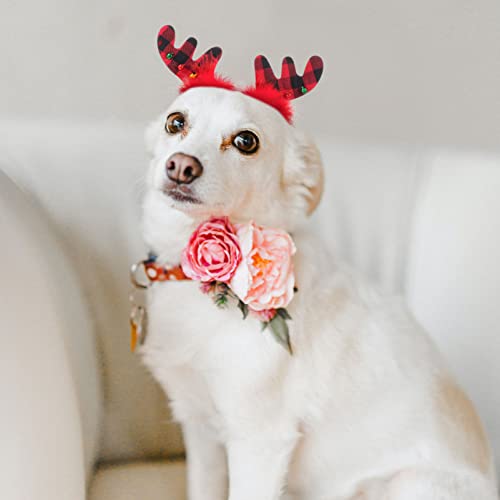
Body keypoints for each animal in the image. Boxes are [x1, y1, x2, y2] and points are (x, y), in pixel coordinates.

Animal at [138, 26, 500, 496]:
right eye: (175, 123)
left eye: (246, 141)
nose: (181, 166)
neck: (192, 276)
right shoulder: (199, 428)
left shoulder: (258, 440)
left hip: (406, 483)